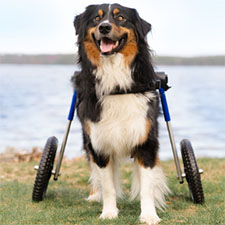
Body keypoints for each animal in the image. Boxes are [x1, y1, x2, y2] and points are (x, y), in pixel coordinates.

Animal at [71, 3, 169, 225]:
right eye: (96, 19)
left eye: (121, 18)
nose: (104, 27)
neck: (116, 83)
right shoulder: (100, 143)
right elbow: (108, 185)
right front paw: (108, 212)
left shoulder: (145, 141)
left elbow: (147, 186)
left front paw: (149, 214)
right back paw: (94, 195)